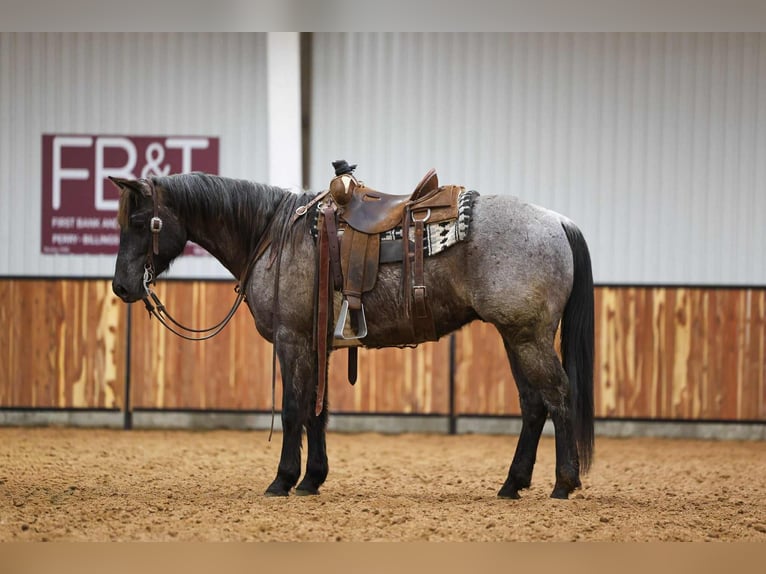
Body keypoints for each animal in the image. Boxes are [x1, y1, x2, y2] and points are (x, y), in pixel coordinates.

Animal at [110, 171, 594, 500]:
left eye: (140, 221)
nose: (121, 287)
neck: (272, 236)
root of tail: (557, 221)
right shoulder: (317, 344)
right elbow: (316, 412)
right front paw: (312, 479)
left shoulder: (292, 340)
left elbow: (293, 409)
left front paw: (283, 480)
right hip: (514, 336)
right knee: (533, 405)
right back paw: (512, 484)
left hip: (527, 336)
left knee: (558, 396)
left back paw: (563, 483)